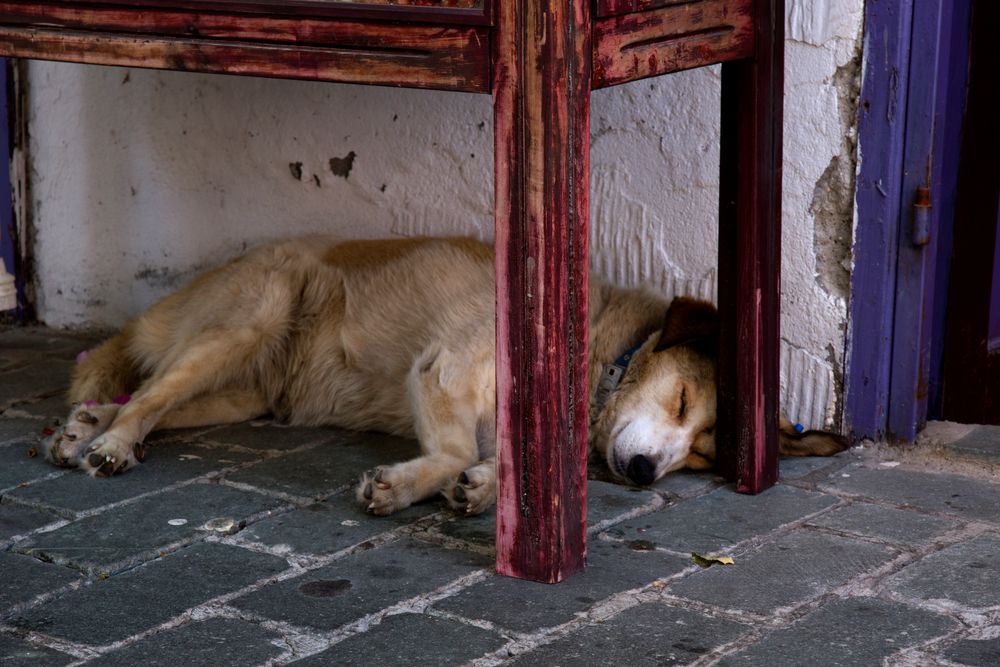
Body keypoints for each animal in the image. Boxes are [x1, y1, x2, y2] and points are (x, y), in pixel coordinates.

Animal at [43, 237, 848, 516]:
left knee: (155, 401)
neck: (593, 351)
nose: (649, 473)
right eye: (681, 400)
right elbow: (457, 447)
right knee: (143, 392)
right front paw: (412, 484)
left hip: (248, 393)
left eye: (704, 455)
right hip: (247, 320)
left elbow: (505, 465)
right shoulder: (446, 368)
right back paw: (107, 442)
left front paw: (482, 487)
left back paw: (86, 428)